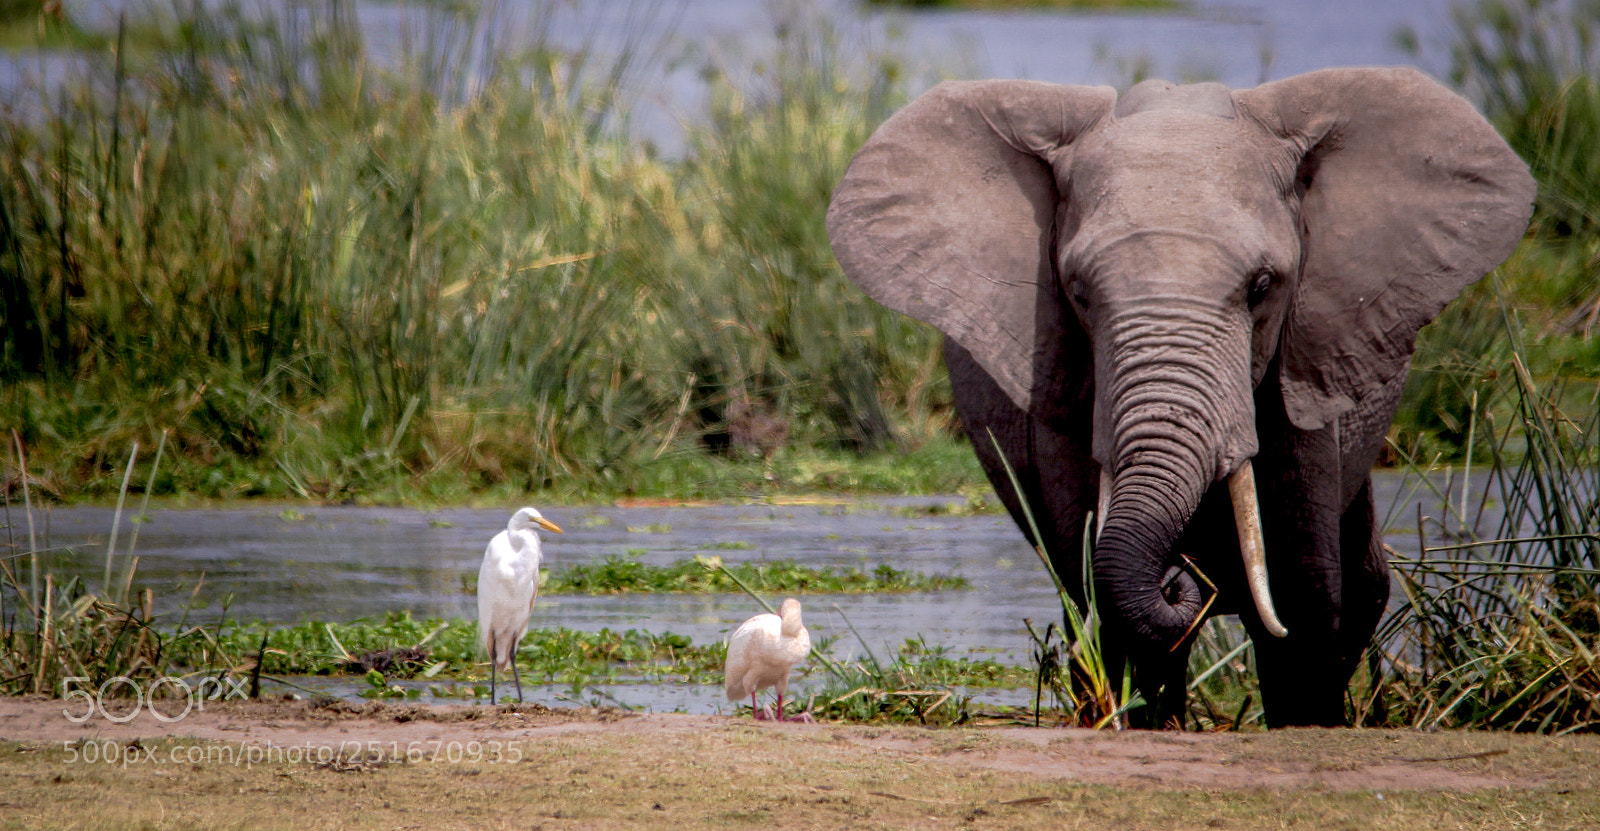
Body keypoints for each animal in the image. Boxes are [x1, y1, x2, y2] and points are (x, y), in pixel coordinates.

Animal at [826, 68, 1535, 728]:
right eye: (1078, 292)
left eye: (1263, 286)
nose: (1179, 576)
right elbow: (1106, 605)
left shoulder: (1305, 370)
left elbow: (1301, 603)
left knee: (1358, 588)